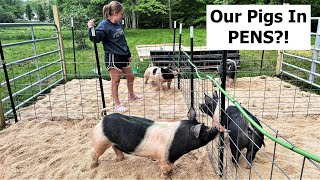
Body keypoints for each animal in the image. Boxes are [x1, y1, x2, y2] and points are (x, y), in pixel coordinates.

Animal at [91, 107, 219, 176]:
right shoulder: (164, 158)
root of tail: (104, 119)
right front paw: (165, 176)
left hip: (113, 142)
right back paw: (93, 167)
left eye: (206, 126)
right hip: (100, 141)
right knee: (94, 154)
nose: (216, 128)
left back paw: (119, 160)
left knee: (115, 148)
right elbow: (165, 169)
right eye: (205, 131)